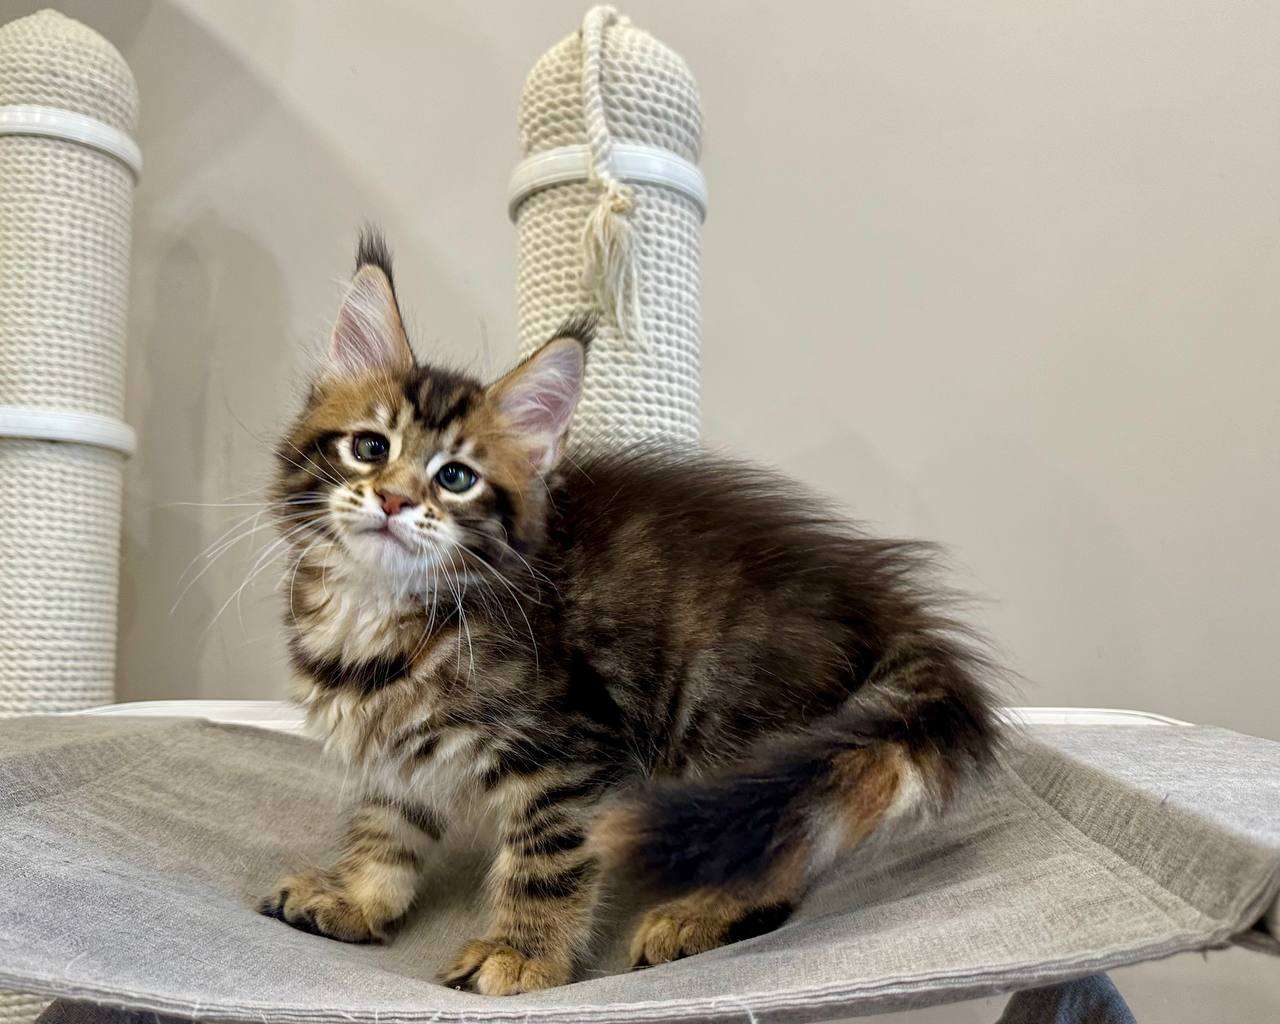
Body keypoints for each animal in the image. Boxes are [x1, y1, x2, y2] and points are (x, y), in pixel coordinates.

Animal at [259, 232, 1001, 995]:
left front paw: (522, 953)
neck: (377, 614)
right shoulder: (394, 753)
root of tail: (884, 602)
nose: (395, 500)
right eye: (370, 447)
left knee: (777, 837)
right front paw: (356, 898)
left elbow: (548, 861)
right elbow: (387, 826)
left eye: (456, 478)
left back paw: (700, 915)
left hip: (725, 726)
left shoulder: (570, 752)